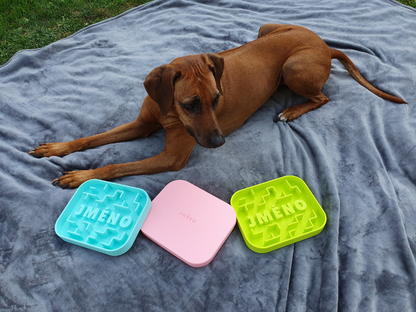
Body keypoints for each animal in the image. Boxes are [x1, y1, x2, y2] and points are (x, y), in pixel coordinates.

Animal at [29, 23, 406, 188]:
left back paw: (291, 111)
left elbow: (117, 167)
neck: (169, 110)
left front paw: (81, 176)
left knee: (323, 97)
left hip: (294, 67)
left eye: (216, 100)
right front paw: (58, 148)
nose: (219, 142)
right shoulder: (142, 123)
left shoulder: (173, 157)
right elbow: (92, 138)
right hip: (266, 29)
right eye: (191, 104)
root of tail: (326, 45)